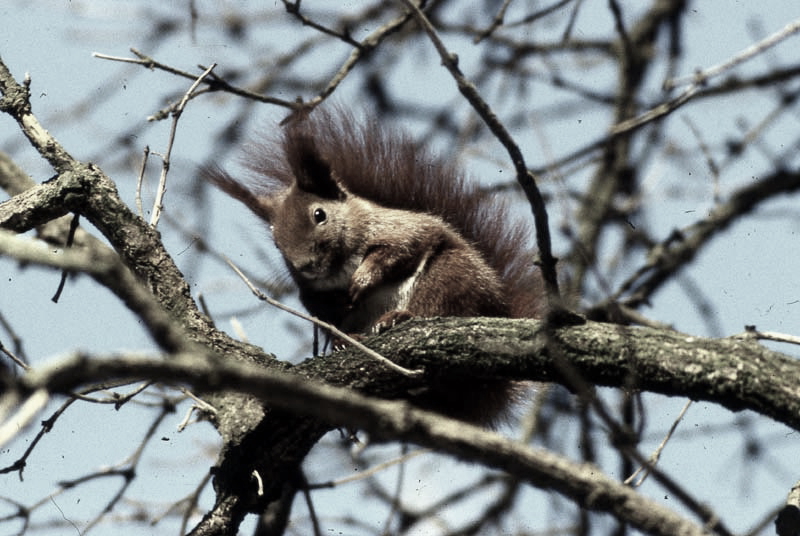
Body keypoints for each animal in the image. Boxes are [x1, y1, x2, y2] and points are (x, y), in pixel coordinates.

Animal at [205, 108, 544, 428]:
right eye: (275, 242)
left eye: (319, 214)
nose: (306, 265)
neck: (338, 266)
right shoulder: (311, 291)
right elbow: (321, 306)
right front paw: (341, 313)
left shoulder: (401, 230)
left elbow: (397, 251)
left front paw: (362, 280)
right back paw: (347, 340)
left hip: (450, 276)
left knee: (439, 307)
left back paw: (399, 317)